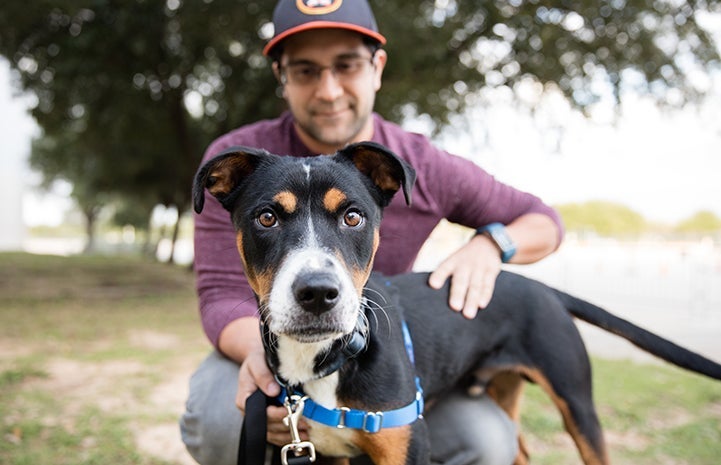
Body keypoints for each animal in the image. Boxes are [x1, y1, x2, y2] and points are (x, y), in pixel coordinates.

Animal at [193, 141, 720, 464]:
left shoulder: (404, 447)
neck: (325, 364)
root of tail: (543, 288)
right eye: (265, 218)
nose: (319, 293)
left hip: (577, 402)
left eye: (353, 217)